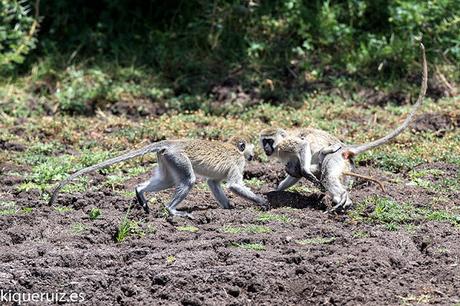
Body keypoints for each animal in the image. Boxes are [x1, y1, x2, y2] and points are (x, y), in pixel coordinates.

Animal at [47, 137, 266, 219]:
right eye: (250, 152)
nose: (253, 156)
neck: (235, 149)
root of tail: (172, 143)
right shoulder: (238, 162)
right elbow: (234, 184)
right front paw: (263, 202)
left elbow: (213, 183)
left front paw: (228, 208)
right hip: (178, 158)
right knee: (187, 181)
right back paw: (171, 210)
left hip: (168, 159)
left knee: (168, 181)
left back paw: (140, 191)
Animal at [258, 41, 428, 212]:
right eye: (264, 141)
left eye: (269, 141)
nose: (266, 148)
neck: (278, 146)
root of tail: (345, 147)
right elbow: (295, 173)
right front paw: (276, 191)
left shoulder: (286, 146)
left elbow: (303, 147)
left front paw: (304, 172)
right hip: (347, 166)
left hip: (335, 158)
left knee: (327, 174)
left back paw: (343, 197)